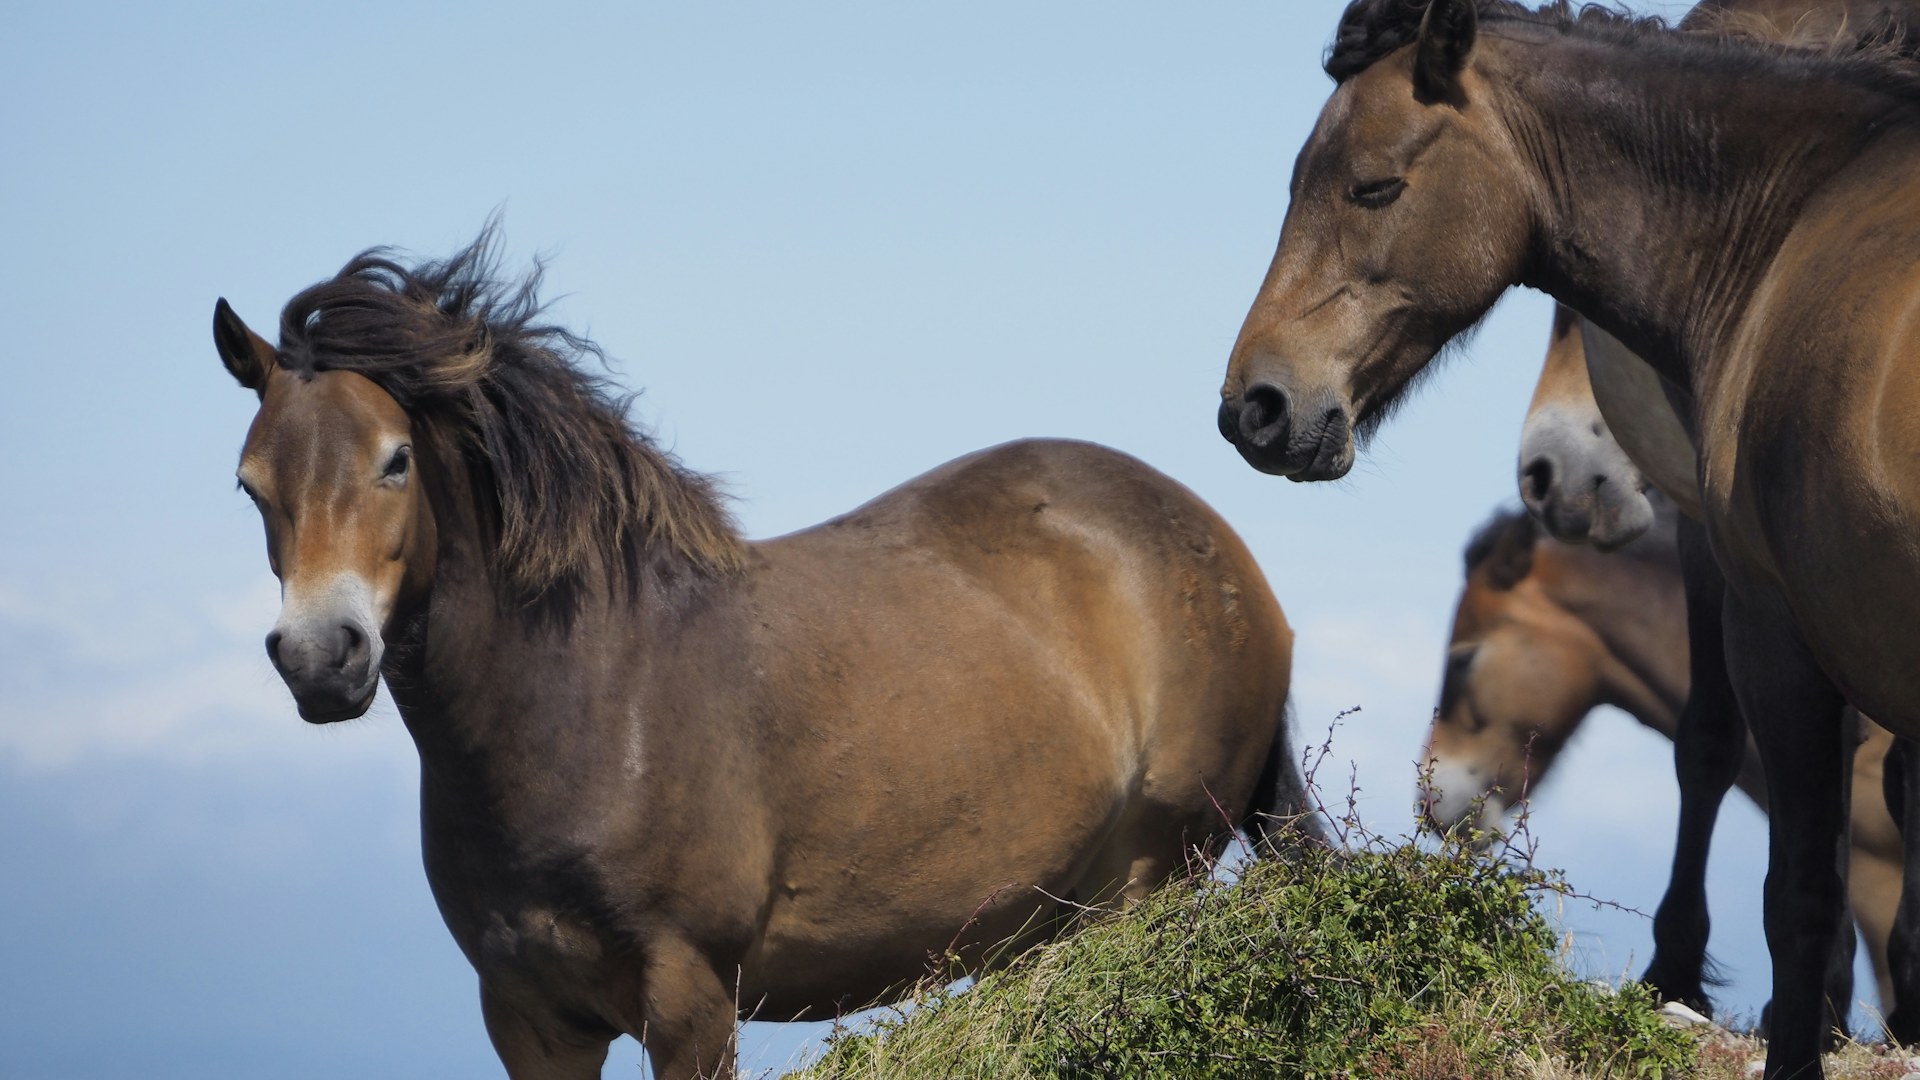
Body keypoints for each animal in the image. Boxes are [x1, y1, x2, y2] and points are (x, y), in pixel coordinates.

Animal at [217, 233, 1313, 1076]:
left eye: (396, 461)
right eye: (249, 482)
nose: (320, 657)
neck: (585, 700)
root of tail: (1223, 551)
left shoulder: (690, 999)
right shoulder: (529, 1018)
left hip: (1137, 894)